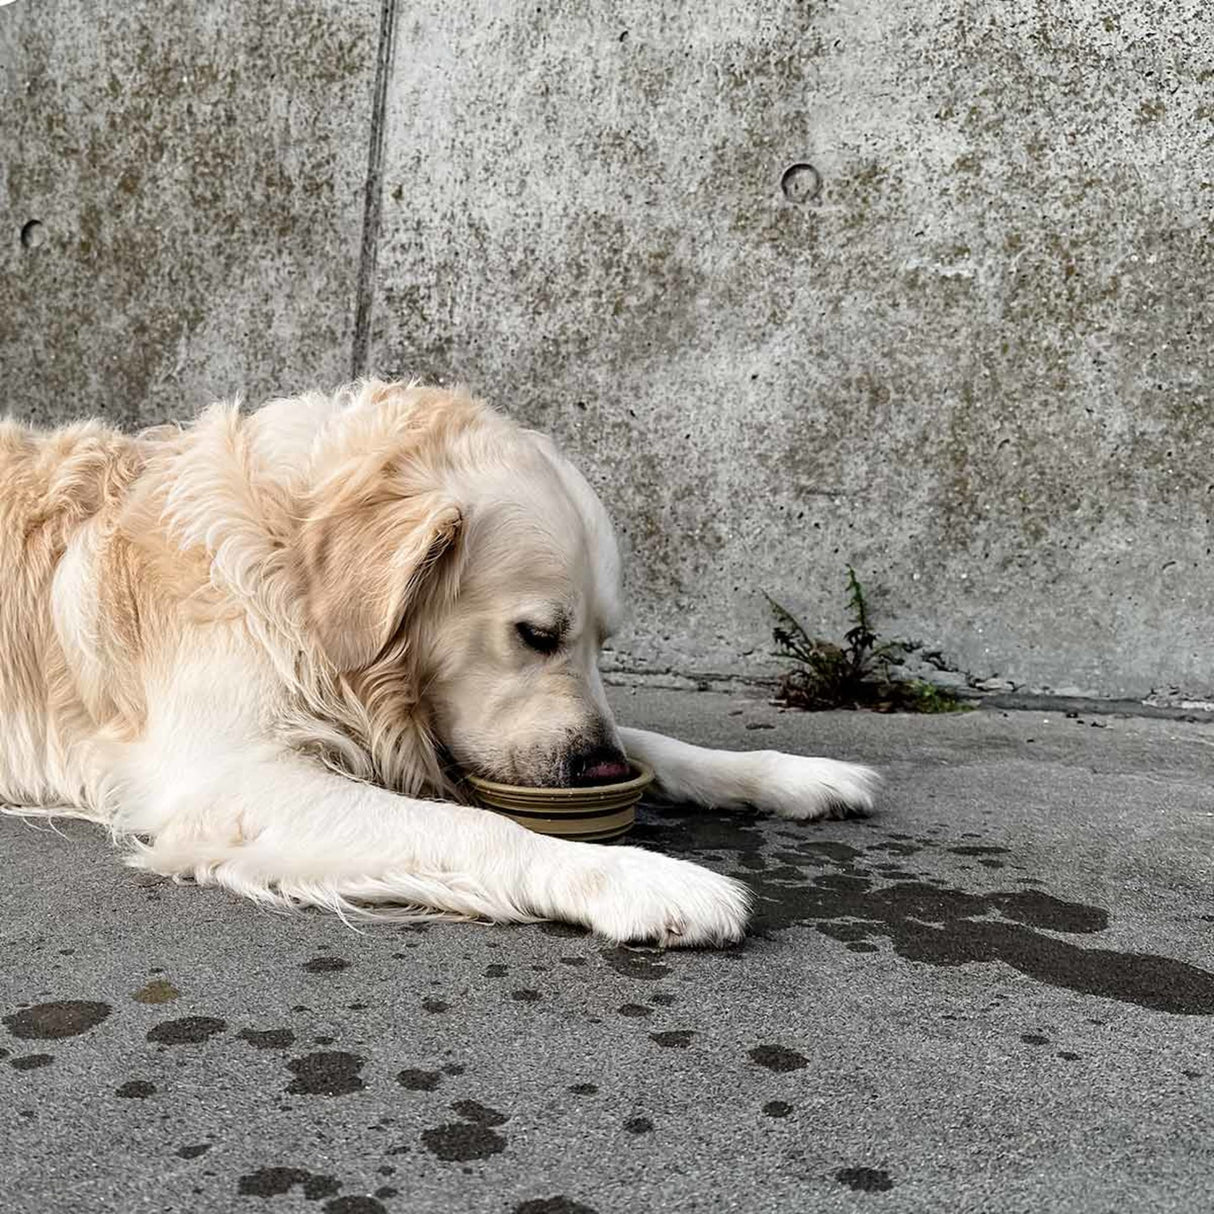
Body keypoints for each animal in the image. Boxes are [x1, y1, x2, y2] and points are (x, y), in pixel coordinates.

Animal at [0, 376, 878, 937]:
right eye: (536, 634)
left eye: (605, 641)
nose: (595, 768)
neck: (284, 574)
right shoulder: (229, 778)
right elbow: (478, 828)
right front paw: (644, 879)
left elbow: (660, 745)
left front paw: (792, 774)